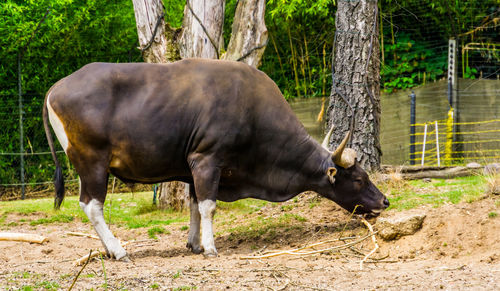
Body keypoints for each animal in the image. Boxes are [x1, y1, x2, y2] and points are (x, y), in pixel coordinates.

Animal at [43, 58, 388, 260]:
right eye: (359, 179)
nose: (384, 201)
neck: (252, 108)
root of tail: (55, 88)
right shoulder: (208, 159)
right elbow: (209, 205)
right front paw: (209, 247)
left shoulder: (192, 168)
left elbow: (195, 204)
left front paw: (194, 244)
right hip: (92, 162)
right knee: (92, 205)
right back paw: (118, 250)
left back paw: (107, 249)